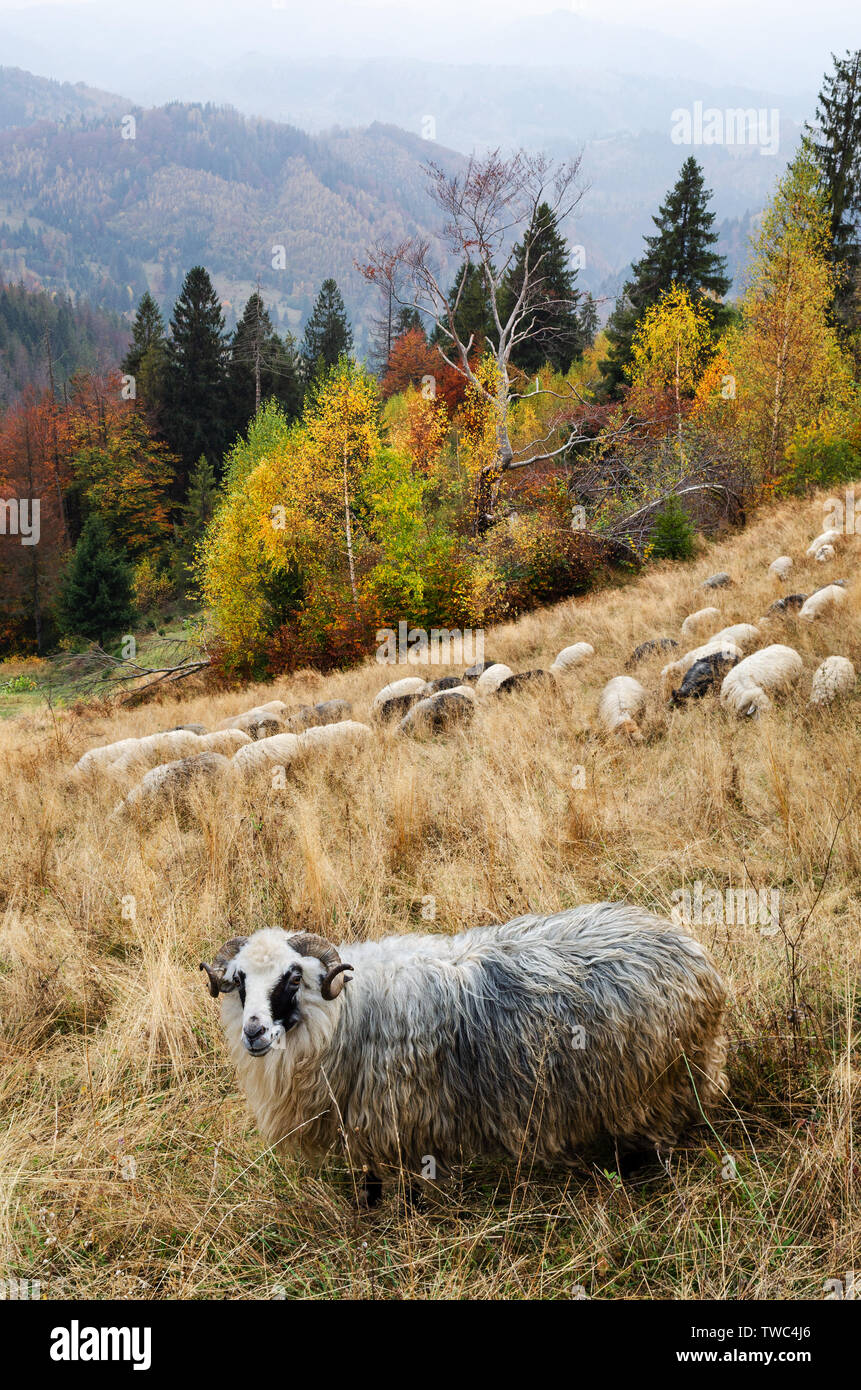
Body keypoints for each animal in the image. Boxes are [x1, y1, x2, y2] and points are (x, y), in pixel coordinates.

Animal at [201, 906, 728, 1200]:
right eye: (240, 980)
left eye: (292, 978)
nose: (254, 1033)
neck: (348, 1009)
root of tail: (695, 953)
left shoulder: (397, 1119)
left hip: (658, 1081)